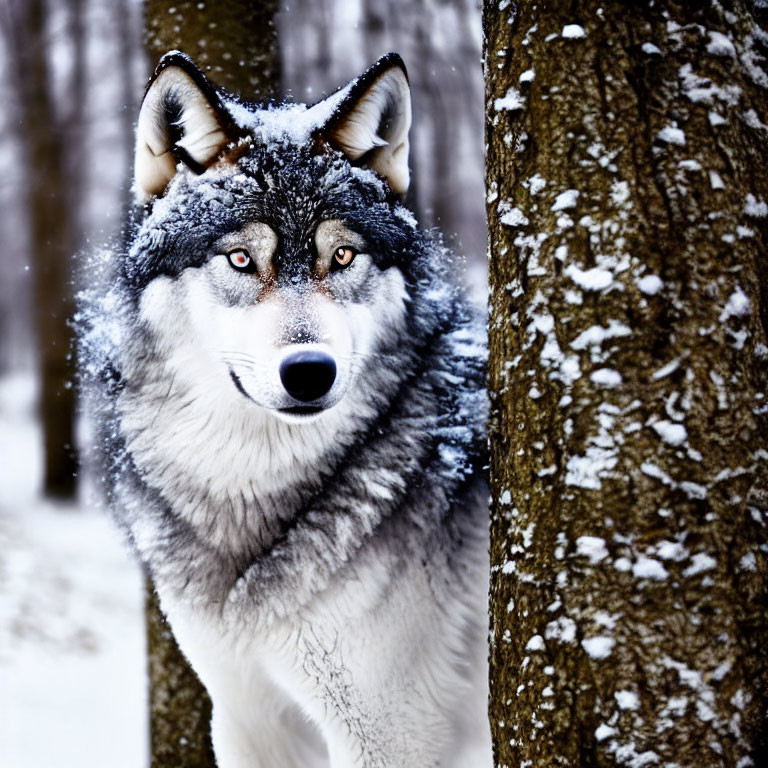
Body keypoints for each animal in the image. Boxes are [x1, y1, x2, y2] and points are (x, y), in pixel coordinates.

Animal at [79, 51, 492, 764]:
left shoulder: (390, 734)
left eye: (343, 255)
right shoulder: (249, 718)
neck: (252, 489)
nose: (309, 373)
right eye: (242, 258)